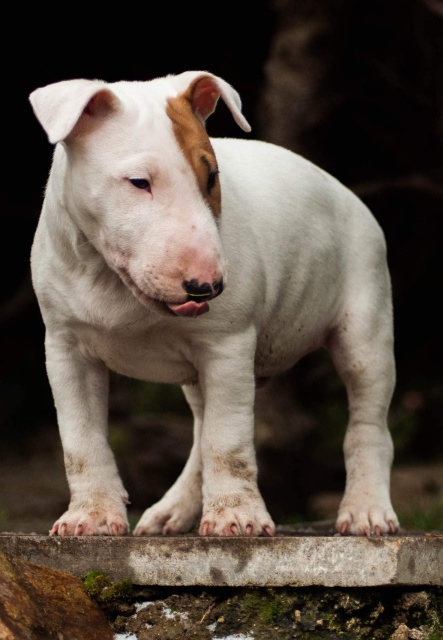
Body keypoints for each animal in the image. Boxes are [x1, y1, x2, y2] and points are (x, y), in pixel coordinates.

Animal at [28, 70, 399, 537]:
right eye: (139, 182)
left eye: (211, 179)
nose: (207, 288)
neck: (110, 279)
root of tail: (348, 193)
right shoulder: (66, 348)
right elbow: (80, 438)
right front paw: (90, 516)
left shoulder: (228, 345)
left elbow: (227, 440)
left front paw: (237, 517)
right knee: (202, 427)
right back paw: (172, 511)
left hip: (365, 323)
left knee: (367, 420)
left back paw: (367, 510)